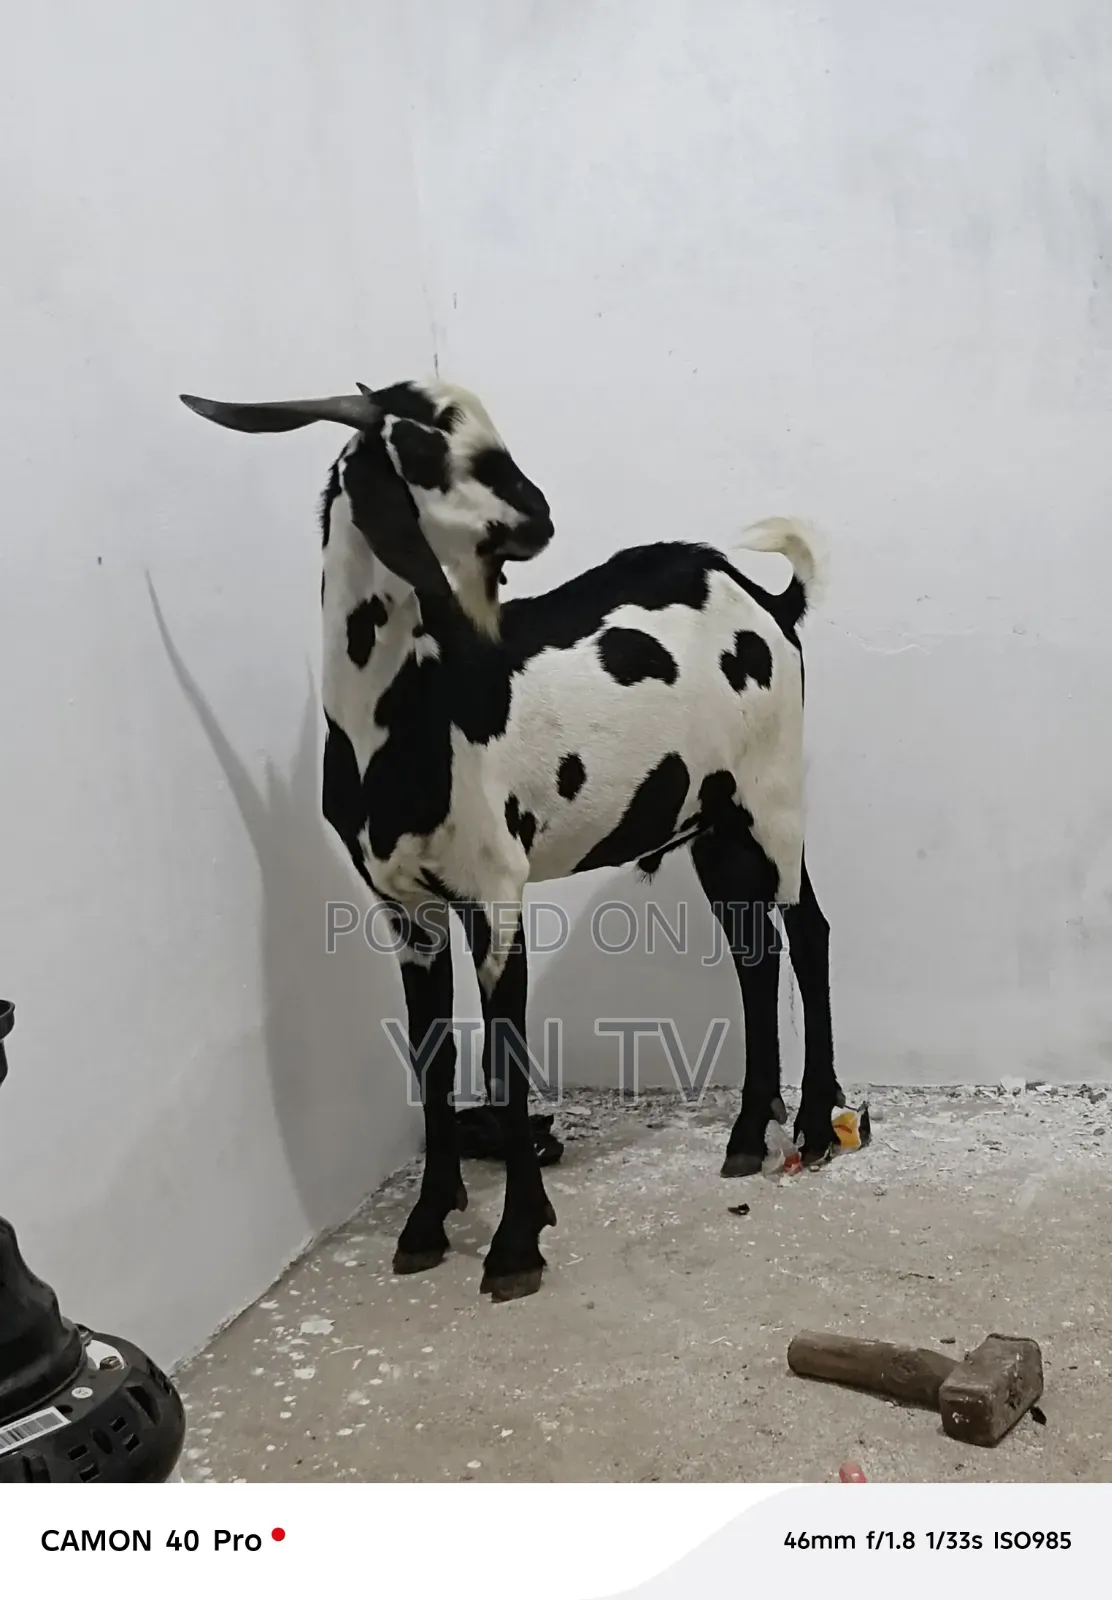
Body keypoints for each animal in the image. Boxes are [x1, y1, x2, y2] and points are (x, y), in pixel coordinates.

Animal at [181, 379, 843, 1301]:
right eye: (425, 448)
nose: (540, 515)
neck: (408, 710)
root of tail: (770, 600)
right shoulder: (405, 907)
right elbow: (432, 1055)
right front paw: (427, 1223)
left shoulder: (495, 889)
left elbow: (506, 1052)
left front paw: (517, 1244)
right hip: (712, 823)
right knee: (756, 953)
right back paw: (749, 1134)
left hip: (771, 798)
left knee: (807, 932)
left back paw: (814, 1125)